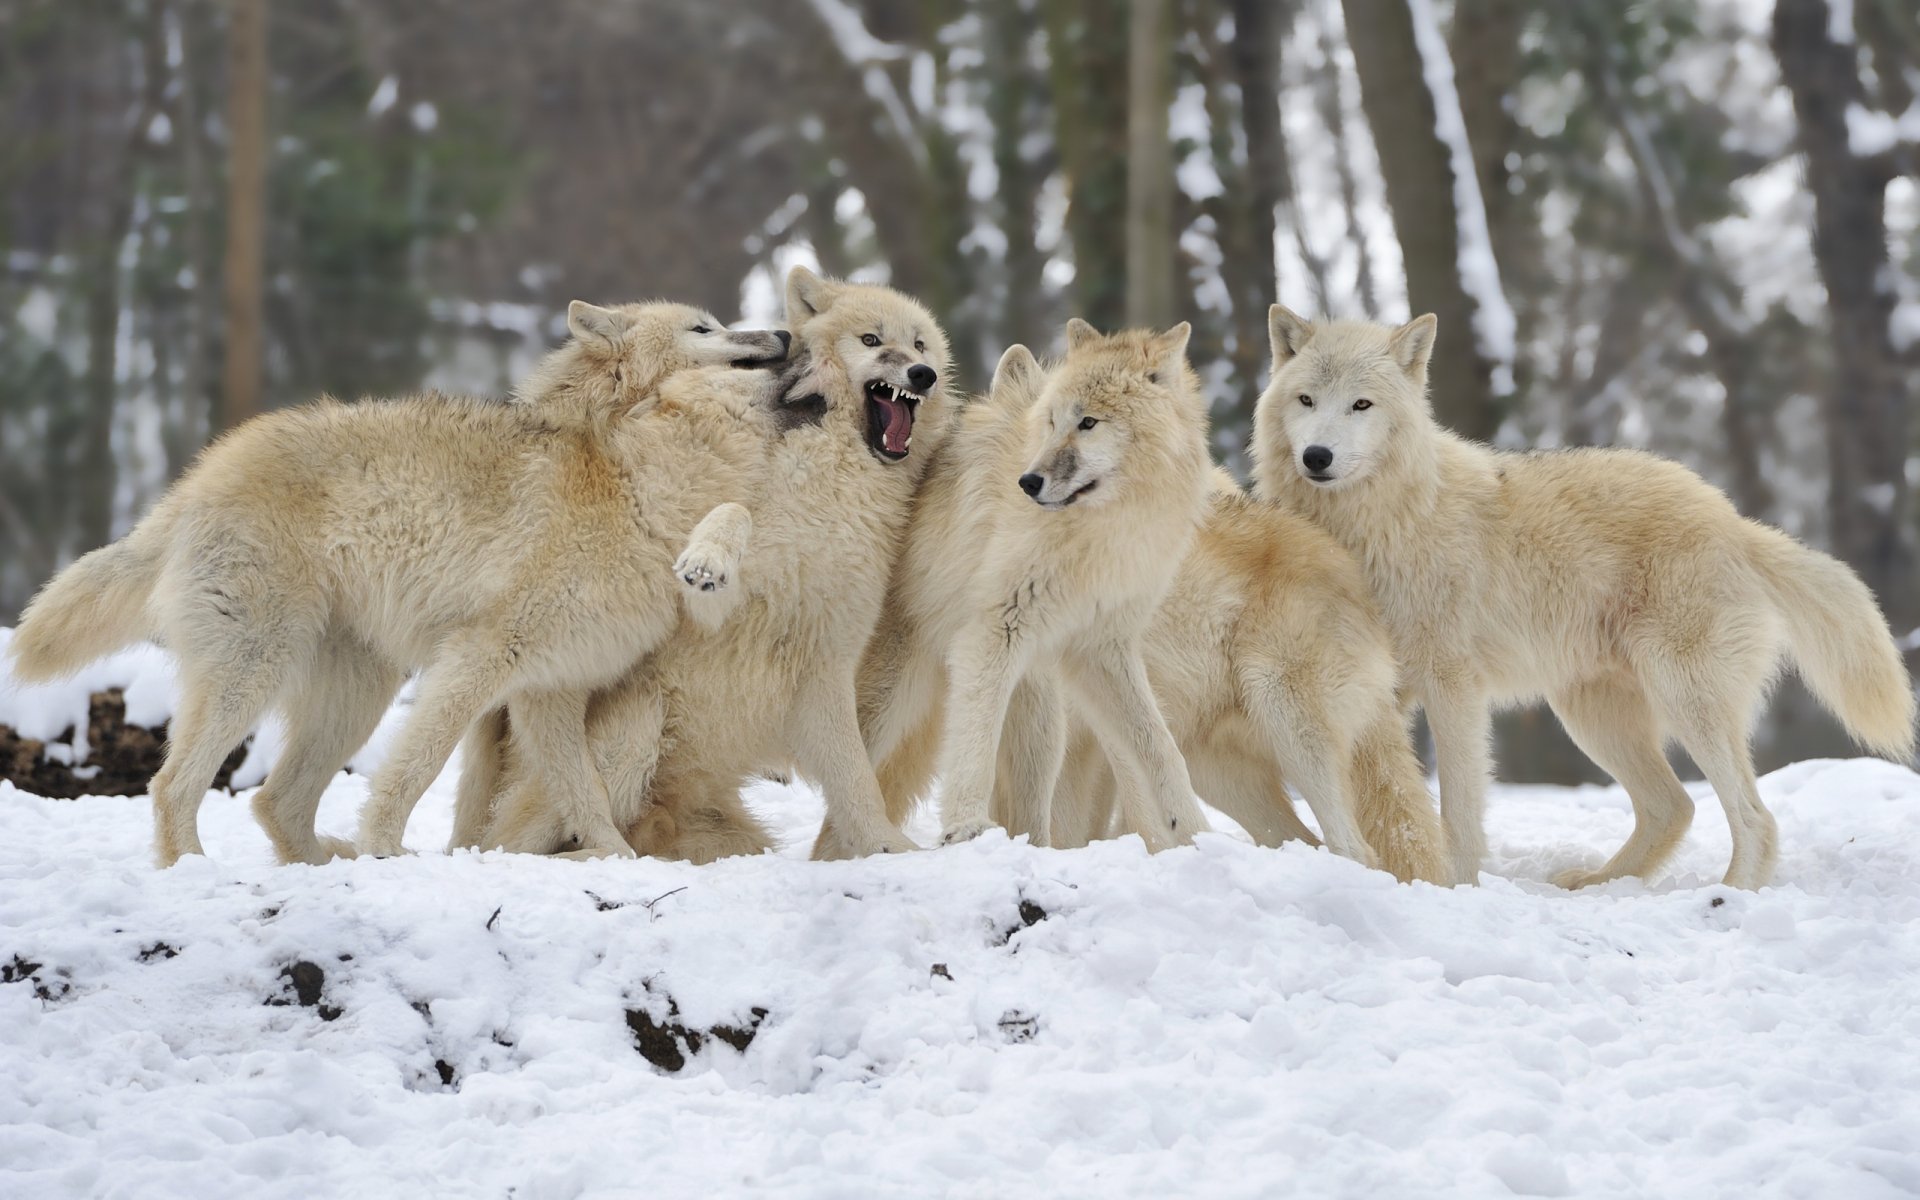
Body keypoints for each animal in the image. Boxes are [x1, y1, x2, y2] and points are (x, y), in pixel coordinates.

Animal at [7, 303, 789, 866]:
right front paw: (386, 848)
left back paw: (324, 864)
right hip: (256, 672)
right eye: (705, 328)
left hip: (356, 692)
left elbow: (586, 795)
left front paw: (618, 862)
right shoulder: (479, 659)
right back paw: (199, 873)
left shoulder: (551, 691)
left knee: (274, 802)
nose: (783, 333)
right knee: (173, 786)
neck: (629, 487)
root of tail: (193, 481)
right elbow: (418, 768)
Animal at [459, 268, 954, 862]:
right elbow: (733, 514)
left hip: (729, 832)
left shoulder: (827, 657)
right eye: (872, 341)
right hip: (637, 722)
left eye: (921, 345)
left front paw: (887, 848)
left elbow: (858, 783)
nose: (922, 374)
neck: (831, 478)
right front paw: (706, 559)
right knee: (520, 843)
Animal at [851, 320, 1214, 853]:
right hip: (887, 702)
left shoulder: (1102, 648)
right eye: (1052, 423)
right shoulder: (994, 632)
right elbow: (974, 745)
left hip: (1042, 719)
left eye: (1089, 423)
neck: (1104, 530)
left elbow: (1162, 750)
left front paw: (1196, 833)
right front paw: (966, 827)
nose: (1028, 482)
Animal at [1252, 306, 1917, 889]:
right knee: (1674, 806)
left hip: (1682, 700)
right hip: (1592, 717)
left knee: (1755, 818)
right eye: (1306, 401)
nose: (1317, 457)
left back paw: (1729, 898)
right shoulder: (1378, 690)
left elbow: (1458, 810)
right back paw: (1600, 885)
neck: (1377, 525)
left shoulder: (1452, 686)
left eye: (1361, 405)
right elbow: (1384, 800)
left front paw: (1456, 887)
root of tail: (1735, 521)